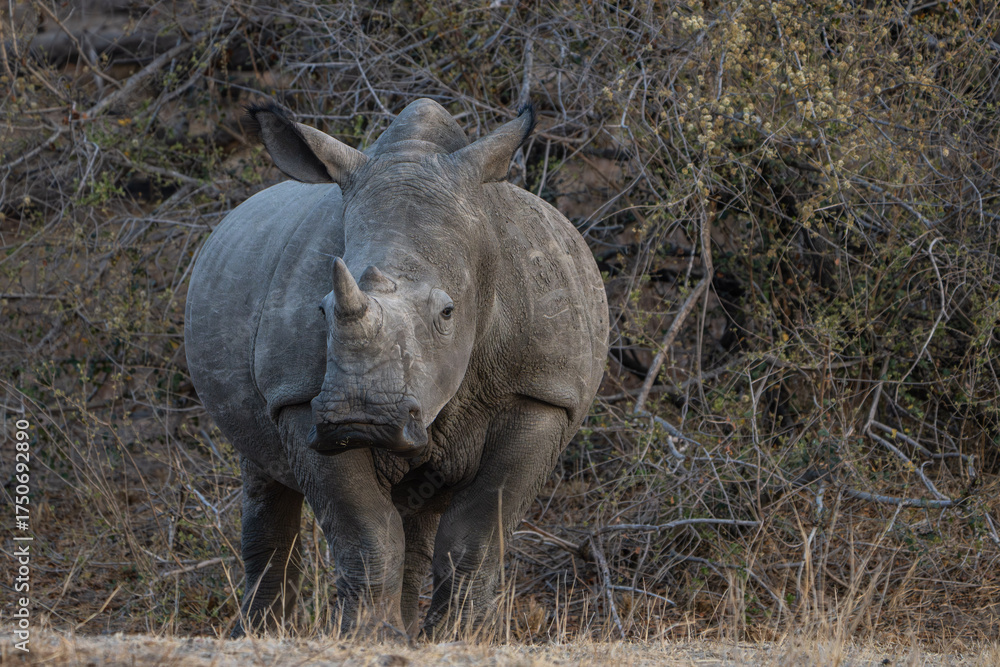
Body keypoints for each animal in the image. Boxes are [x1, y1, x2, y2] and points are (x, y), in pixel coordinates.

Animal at [184, 98, 609, 638]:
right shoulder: (298, 398)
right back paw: (262, 635)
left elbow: (475, 536)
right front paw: (364, 636)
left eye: (447, 313)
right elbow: (365, 532)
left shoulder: (543, 393)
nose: (361, 417)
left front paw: (455, 640)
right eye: (321, 310)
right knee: (264, 481)